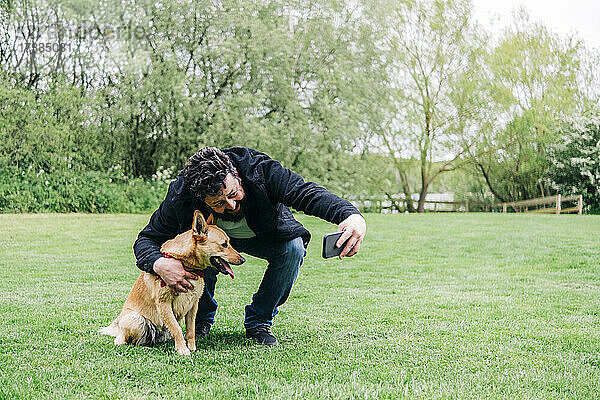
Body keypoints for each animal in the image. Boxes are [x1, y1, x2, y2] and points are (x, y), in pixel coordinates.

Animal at [99, 211, 245, 354]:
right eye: (224, 244)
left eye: (229, 242)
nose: (243, 259)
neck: (186, 264)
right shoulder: (164, 304)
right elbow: (177, 329)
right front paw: (183, 350)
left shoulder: (193, 305)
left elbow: (190, 330)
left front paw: (192, 348)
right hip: (136, 319)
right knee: (127, 342)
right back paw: (144, 346)